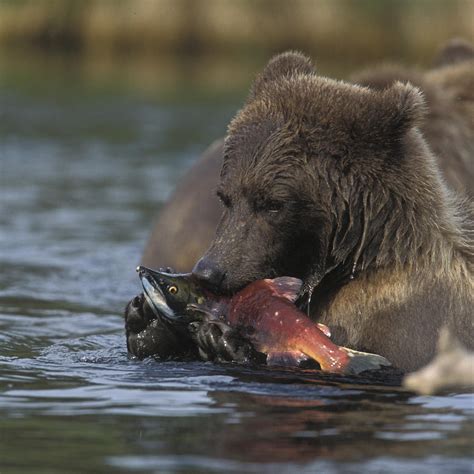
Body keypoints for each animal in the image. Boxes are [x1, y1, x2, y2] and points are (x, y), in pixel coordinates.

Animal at [126, 40, 474, 372]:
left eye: (272, 204)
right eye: (225, 196)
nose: (210, 272)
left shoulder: (390, 322)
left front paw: (223, 341)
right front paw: (145, 322)